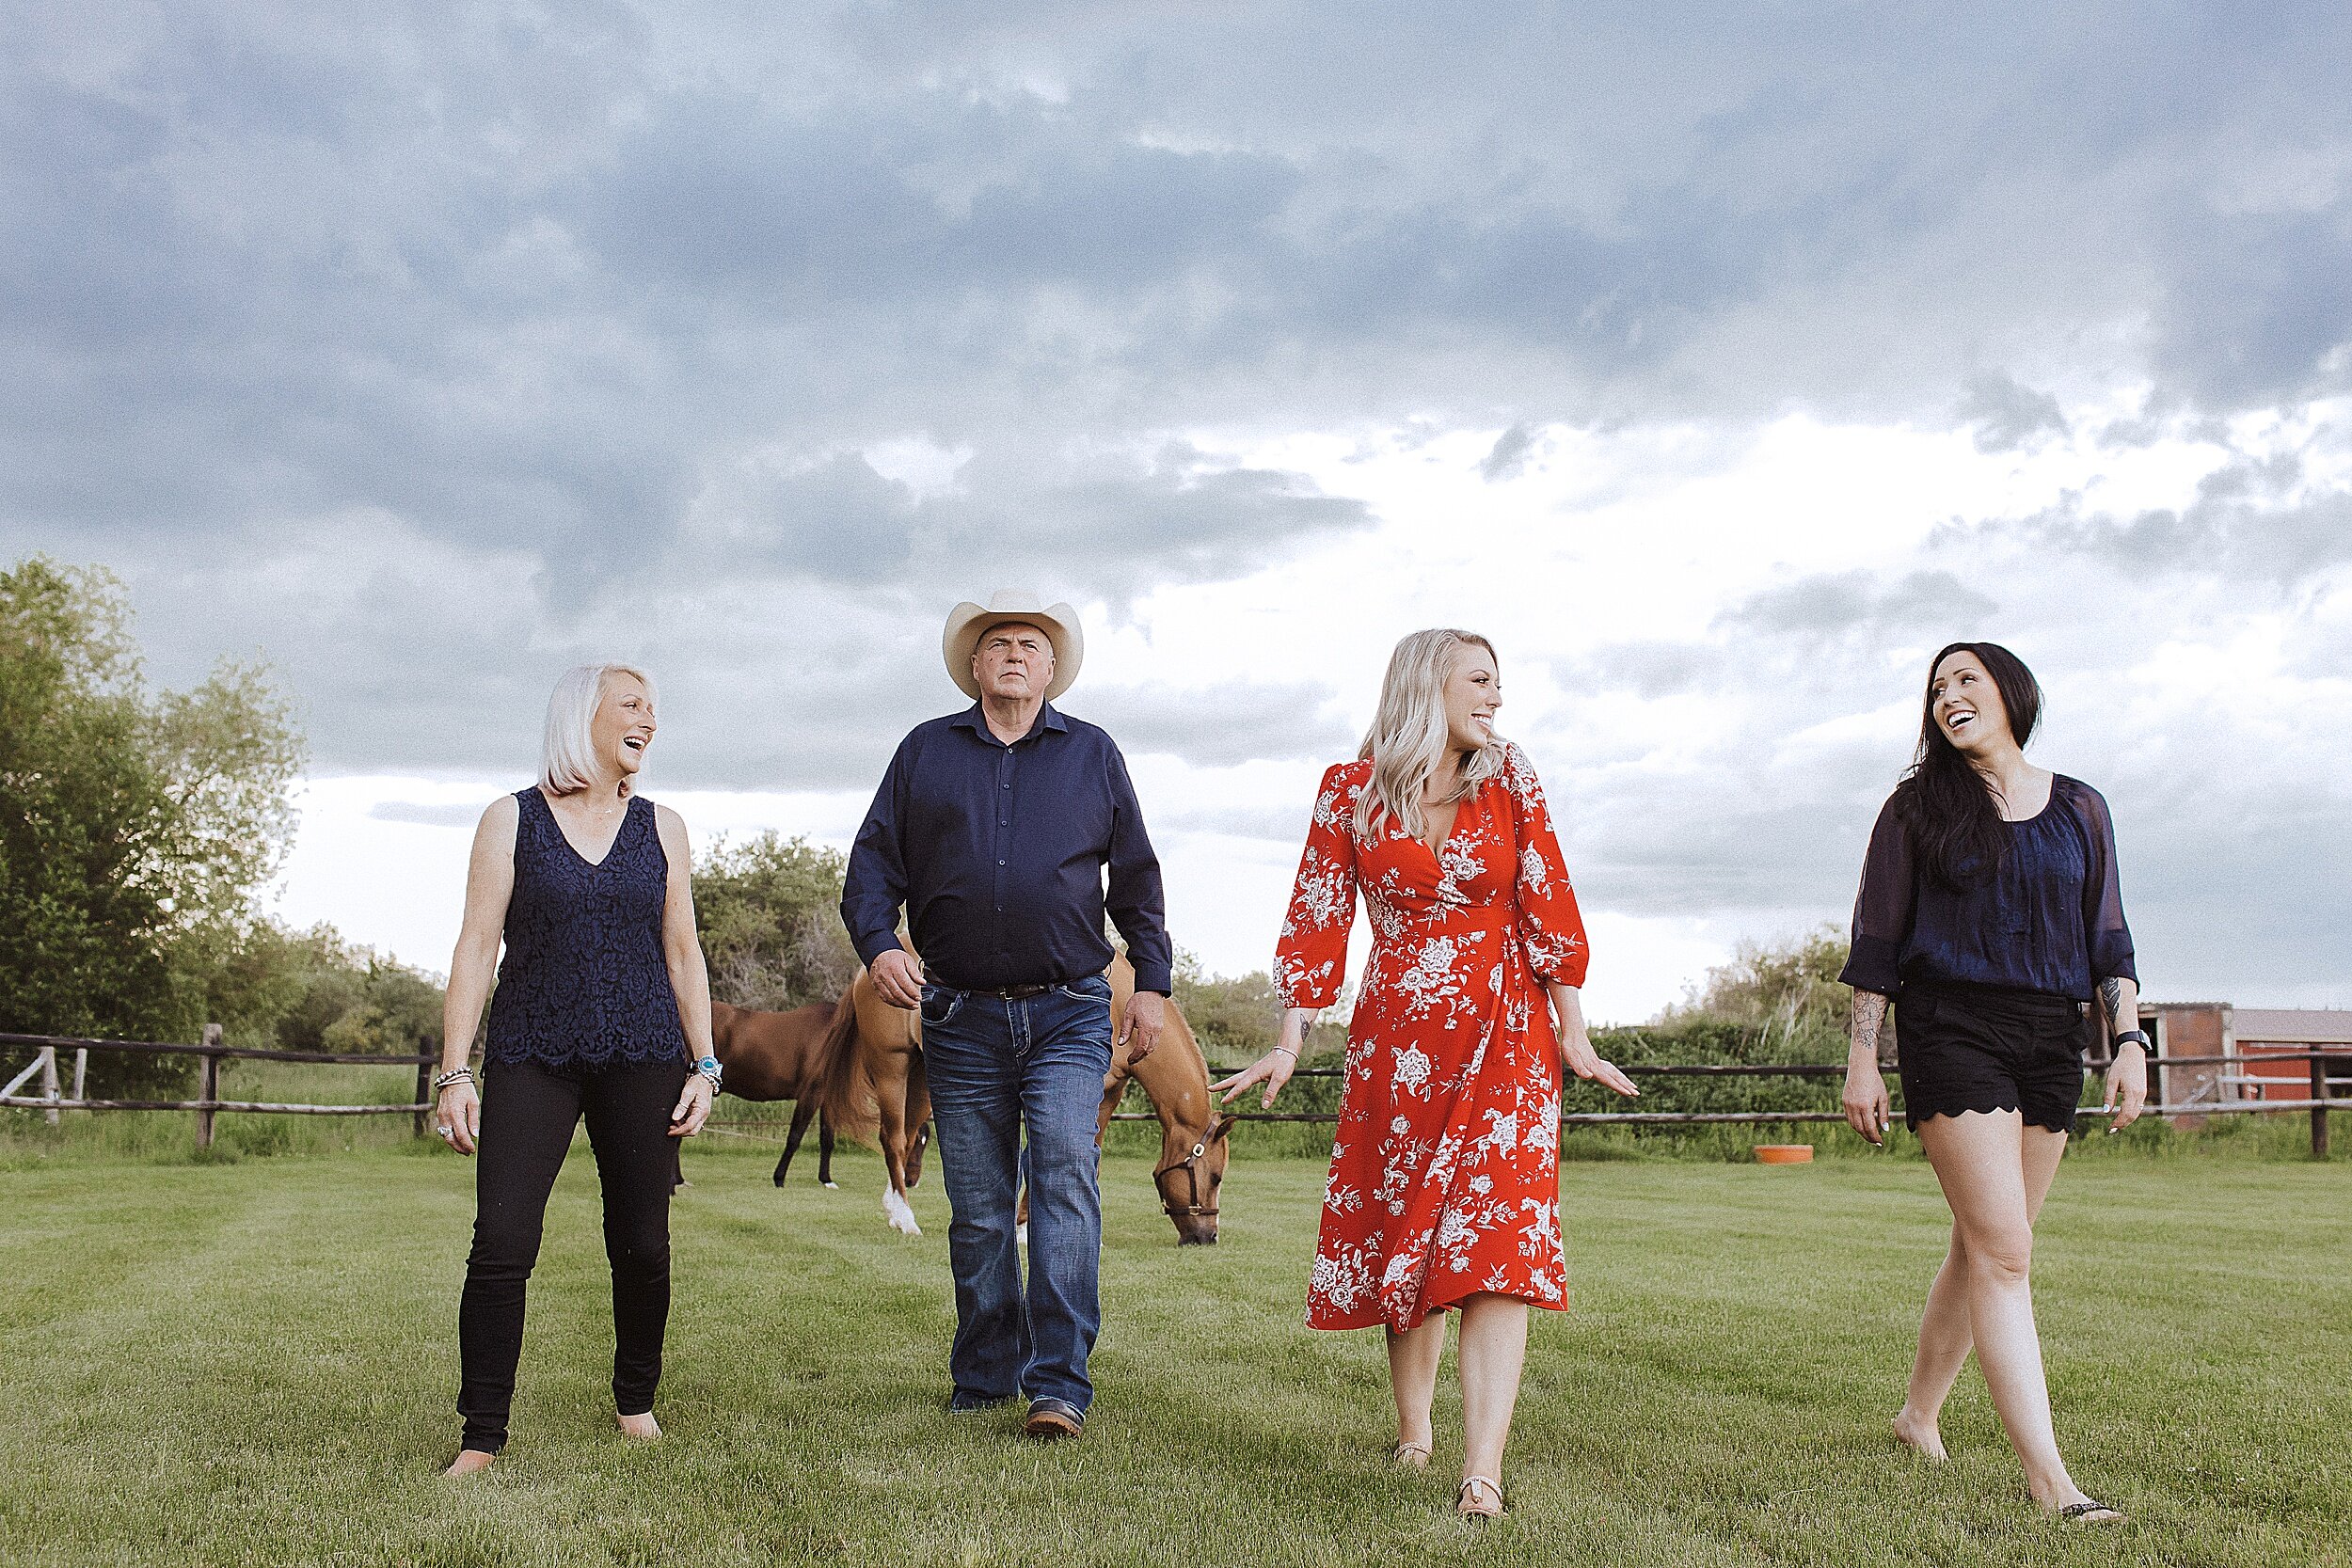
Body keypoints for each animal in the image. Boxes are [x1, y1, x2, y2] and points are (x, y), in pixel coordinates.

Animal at [706, 1006, 847, 1189]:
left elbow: (827, 1138)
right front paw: (779, 1179)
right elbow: (794, 1137)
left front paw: (826, 1180)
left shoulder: (828, 1098)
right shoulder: (810, 1094)